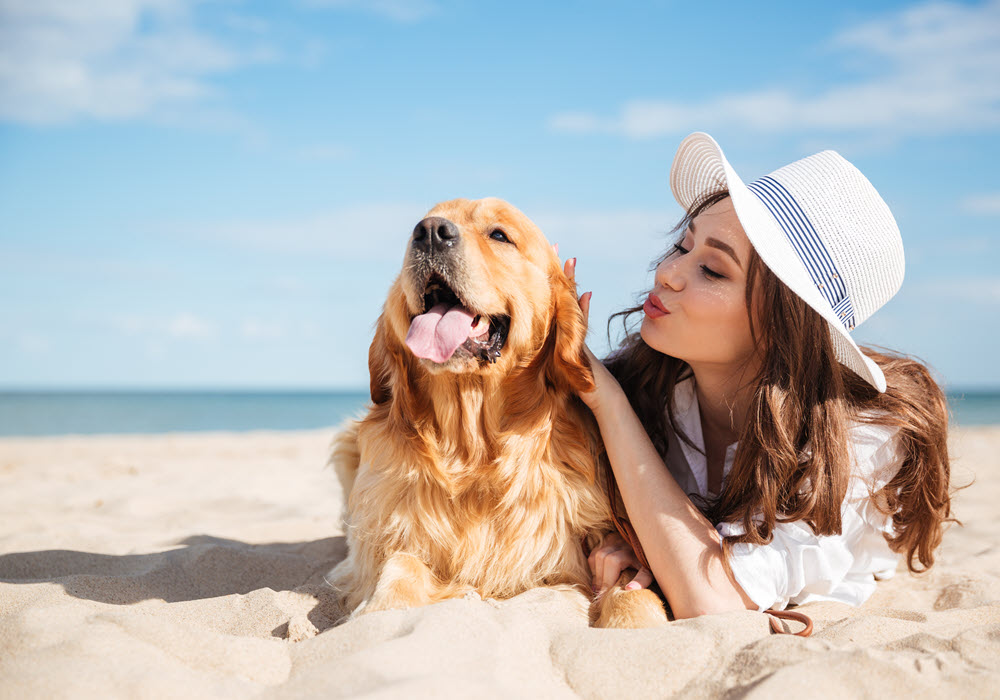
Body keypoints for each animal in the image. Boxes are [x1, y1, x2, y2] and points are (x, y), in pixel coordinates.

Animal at [328, 197, 668, 628]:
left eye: (500, 235)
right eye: (419, 226)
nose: (430, 232)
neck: (473, 448)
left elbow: (634, 593)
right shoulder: (386, 544)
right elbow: (399, 569)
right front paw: (380, 614)